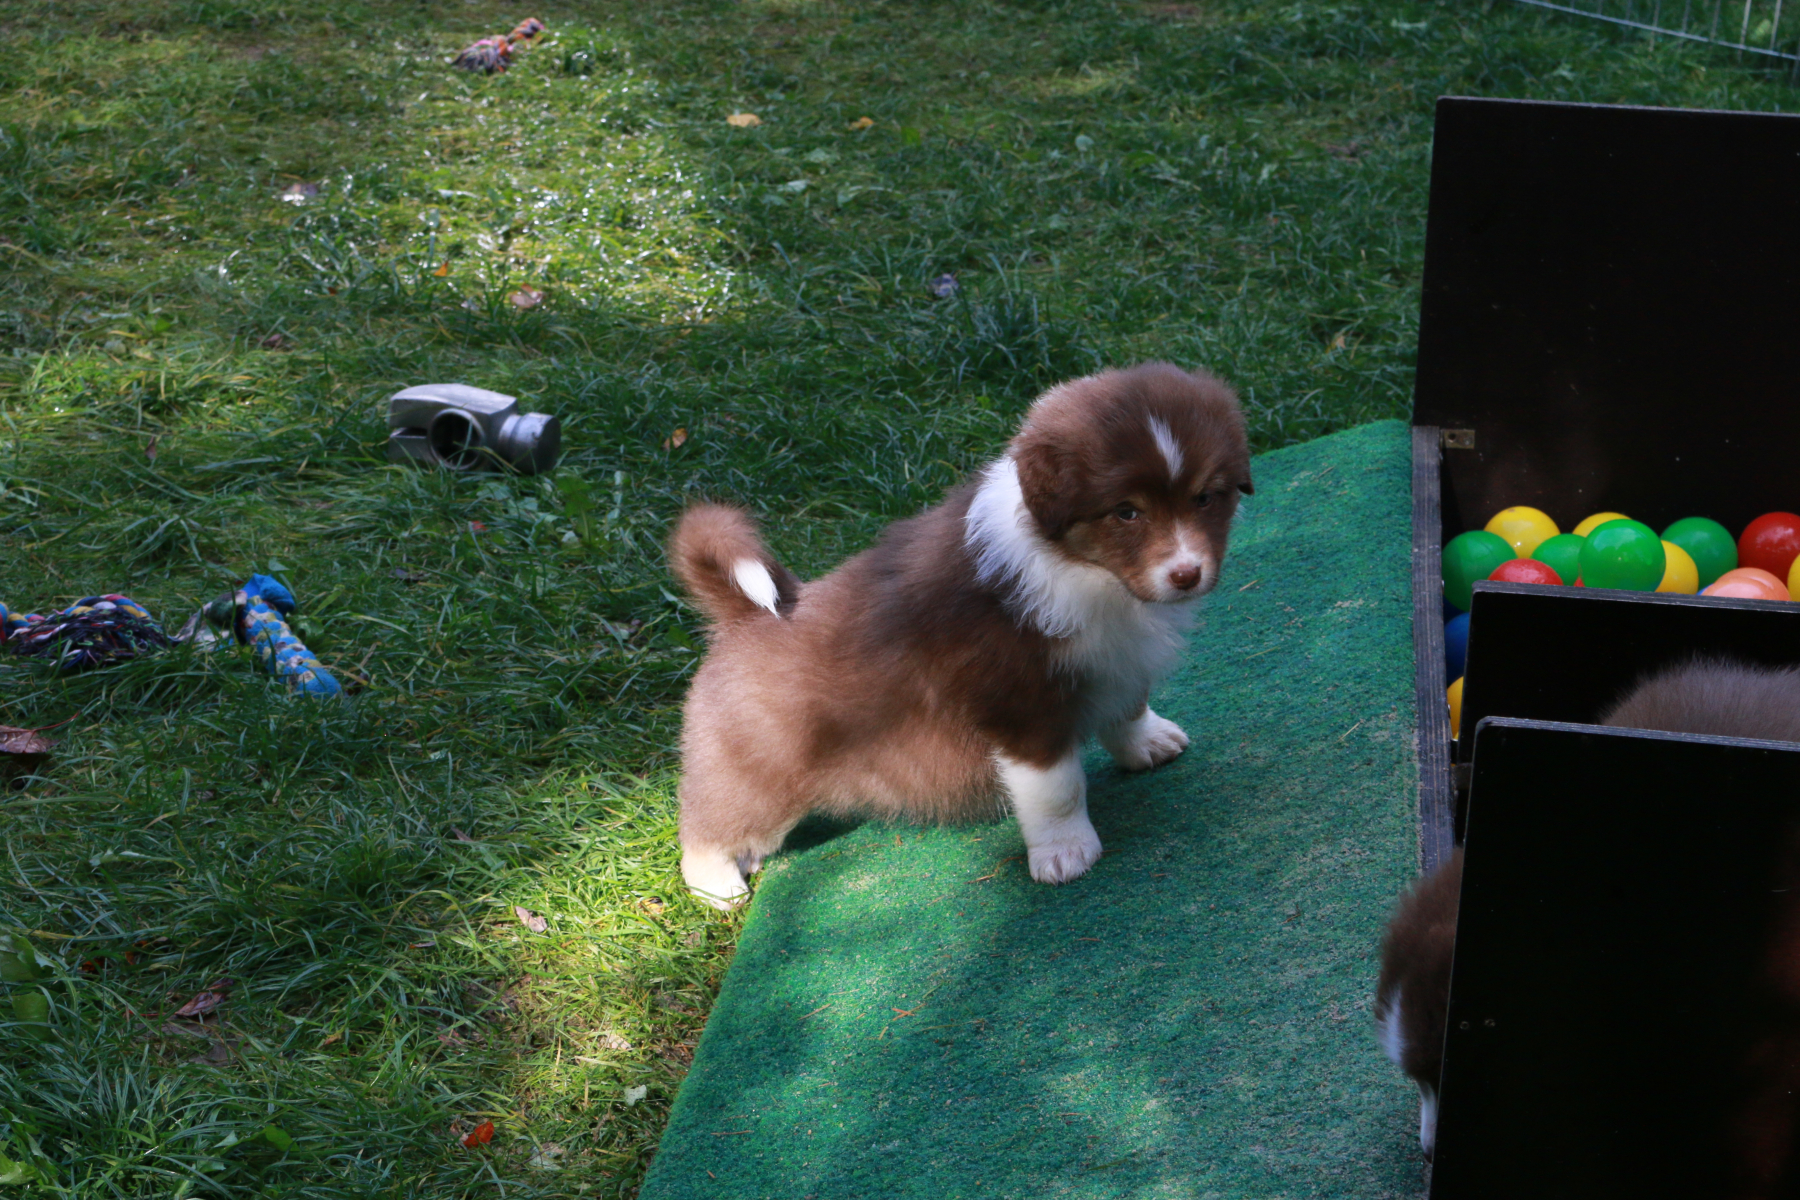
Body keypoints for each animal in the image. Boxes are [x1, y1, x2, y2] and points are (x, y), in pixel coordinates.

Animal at [667, 362, 1254, 909]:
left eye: (1205, 498)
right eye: (1126, 512)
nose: (1187, 574)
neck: (1082, 569)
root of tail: (745, 615)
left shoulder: (1120, 657)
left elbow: (1128, 707)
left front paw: (1149, 744)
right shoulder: (1020, 703)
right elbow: (1056, 787)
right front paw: (1065, 853)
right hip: (759, 769)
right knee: (709, 821)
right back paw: (718, 885)